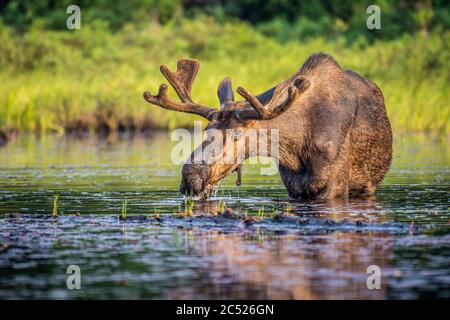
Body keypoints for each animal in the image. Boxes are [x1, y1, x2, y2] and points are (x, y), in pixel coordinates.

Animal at [142, 52, 392, 200]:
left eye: (238, 133)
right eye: (206, 129)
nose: (191, 174)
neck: (295, 147)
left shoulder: (334, 187)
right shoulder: (293, 186)